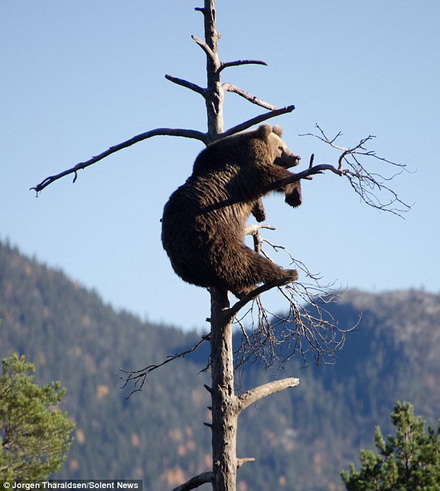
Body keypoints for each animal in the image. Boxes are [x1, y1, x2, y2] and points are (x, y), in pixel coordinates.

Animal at [162, 123, 302, 300]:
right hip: (215, 237)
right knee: (246, 262)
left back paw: (247, 290)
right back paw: (286, 273)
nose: (296, 157)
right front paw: (295, 197)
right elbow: (270, 175)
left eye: (285, 145)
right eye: (280, 147)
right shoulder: (244, 172)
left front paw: (261, 212)